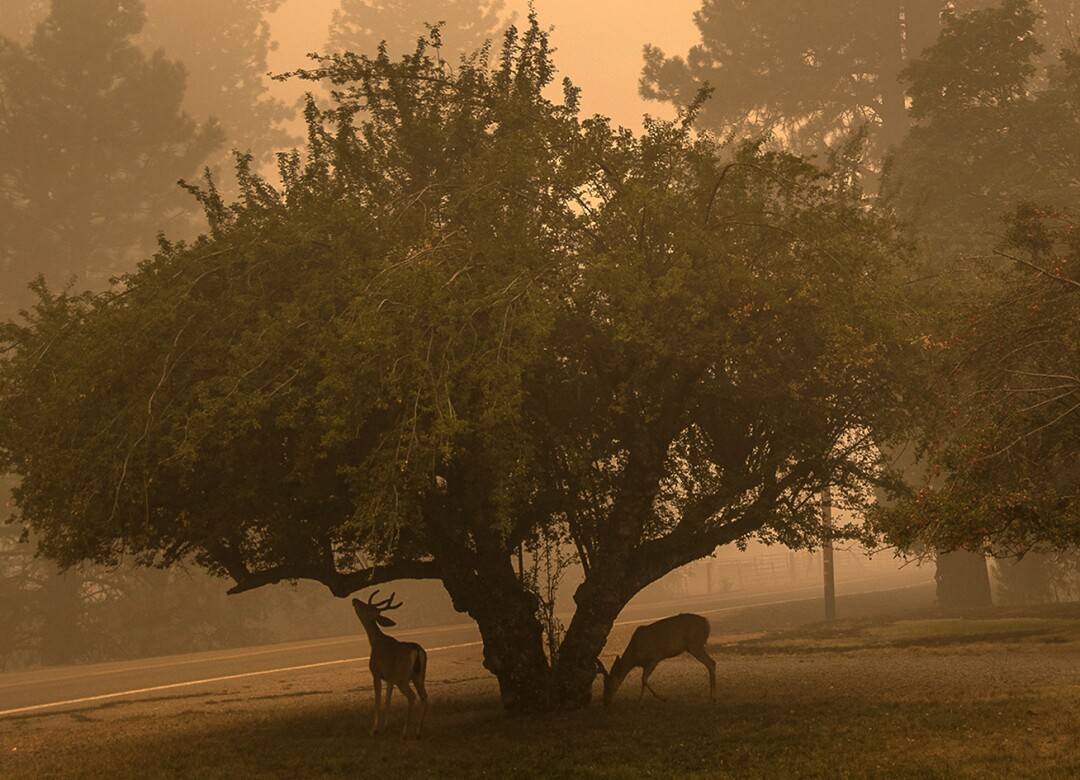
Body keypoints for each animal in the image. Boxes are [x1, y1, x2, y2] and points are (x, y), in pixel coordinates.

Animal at [349, 587, 425, 734]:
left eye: (365, 607)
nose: (354, 600)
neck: (375, 642)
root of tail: (417, 650)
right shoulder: (390, 678)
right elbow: (387, 700)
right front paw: (386, 725)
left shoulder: (376, 672)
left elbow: (378, 699)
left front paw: (374, 729)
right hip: (419, 675)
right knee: (424, 696)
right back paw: (418, 732)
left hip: (402, 677)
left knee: (412, 696)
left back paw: (405, 733)